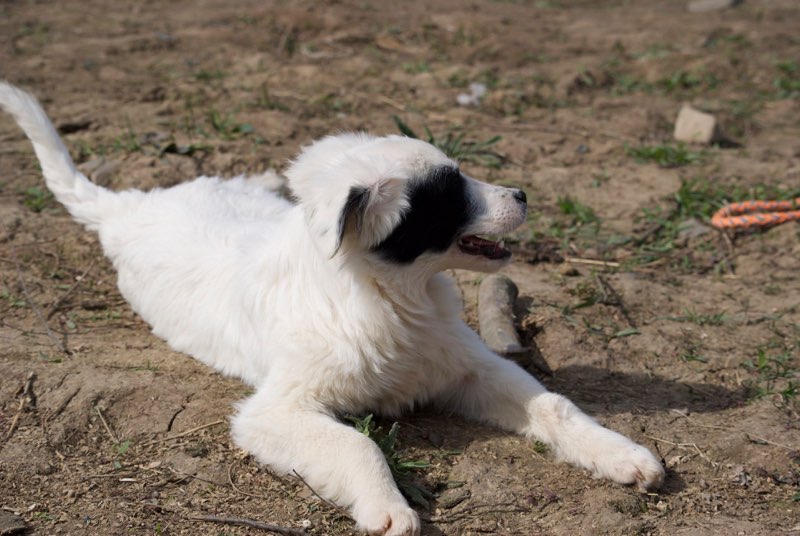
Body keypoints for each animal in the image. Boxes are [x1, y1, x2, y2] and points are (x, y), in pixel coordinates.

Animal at [0, 80, 664, 536]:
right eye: (448, 195)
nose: (523, 194)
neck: (389, 299)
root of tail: (130, 208)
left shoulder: (470, 366)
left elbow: (554, 405)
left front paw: (622, 455)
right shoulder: (273, 411)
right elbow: (356, 444)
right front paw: (387, 506)